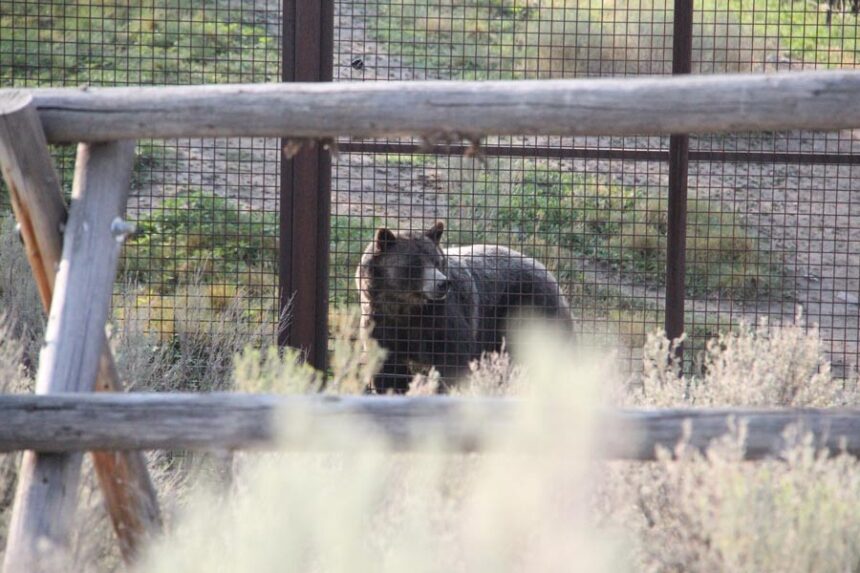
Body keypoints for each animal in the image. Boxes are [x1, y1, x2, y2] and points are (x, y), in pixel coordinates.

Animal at [356, 220, 571, 394]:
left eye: (437, 261)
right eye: (415, 263)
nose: (442, 283)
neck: (405, 307)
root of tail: (546, 270)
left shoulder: (440, 317)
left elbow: (453, 358)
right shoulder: (380, 322)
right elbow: (388, 370)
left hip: (527, 309)